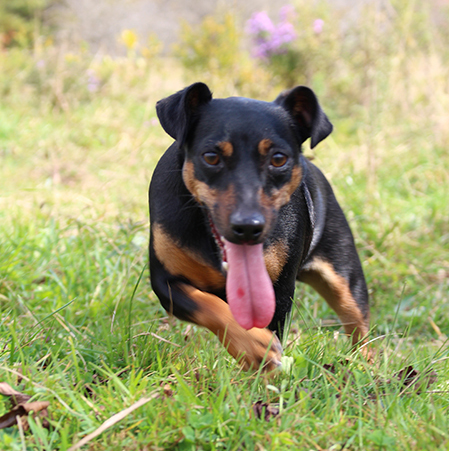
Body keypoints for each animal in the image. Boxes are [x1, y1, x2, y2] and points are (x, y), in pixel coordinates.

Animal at [148, 83, 368, 372]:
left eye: (278, 159)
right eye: (211, 157)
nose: (248, 227)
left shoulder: (280, 291)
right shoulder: (164, 281)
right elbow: (206, 304)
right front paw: (254, 346)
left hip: (346, 276)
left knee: (359, 326)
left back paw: (366, 367)